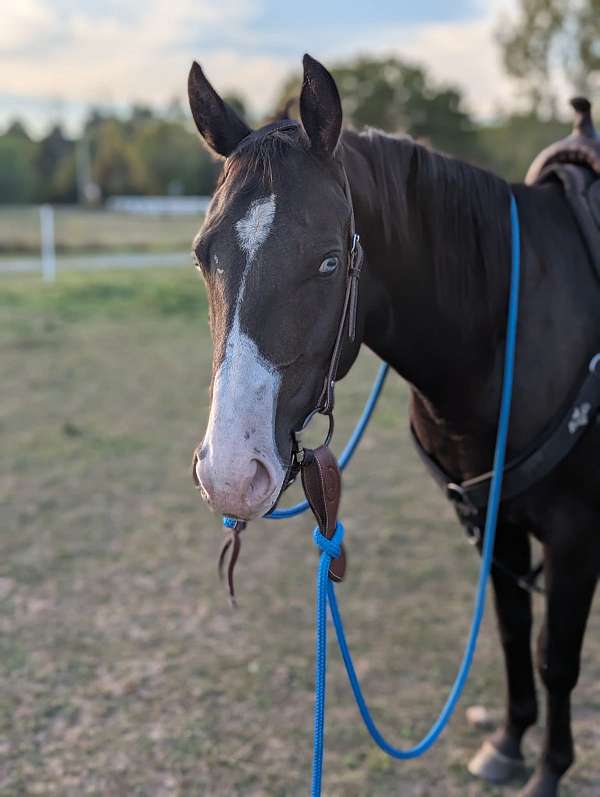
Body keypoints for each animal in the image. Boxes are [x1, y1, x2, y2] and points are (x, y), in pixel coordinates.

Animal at [188, 54, 599, 797]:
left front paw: (550, 769)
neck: (514, 326)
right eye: (205, 255)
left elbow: (555, 655)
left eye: (328, 260)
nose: (231, 473)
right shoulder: (492, 519)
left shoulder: (576, 536)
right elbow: (511, 626)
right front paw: (509, 742)